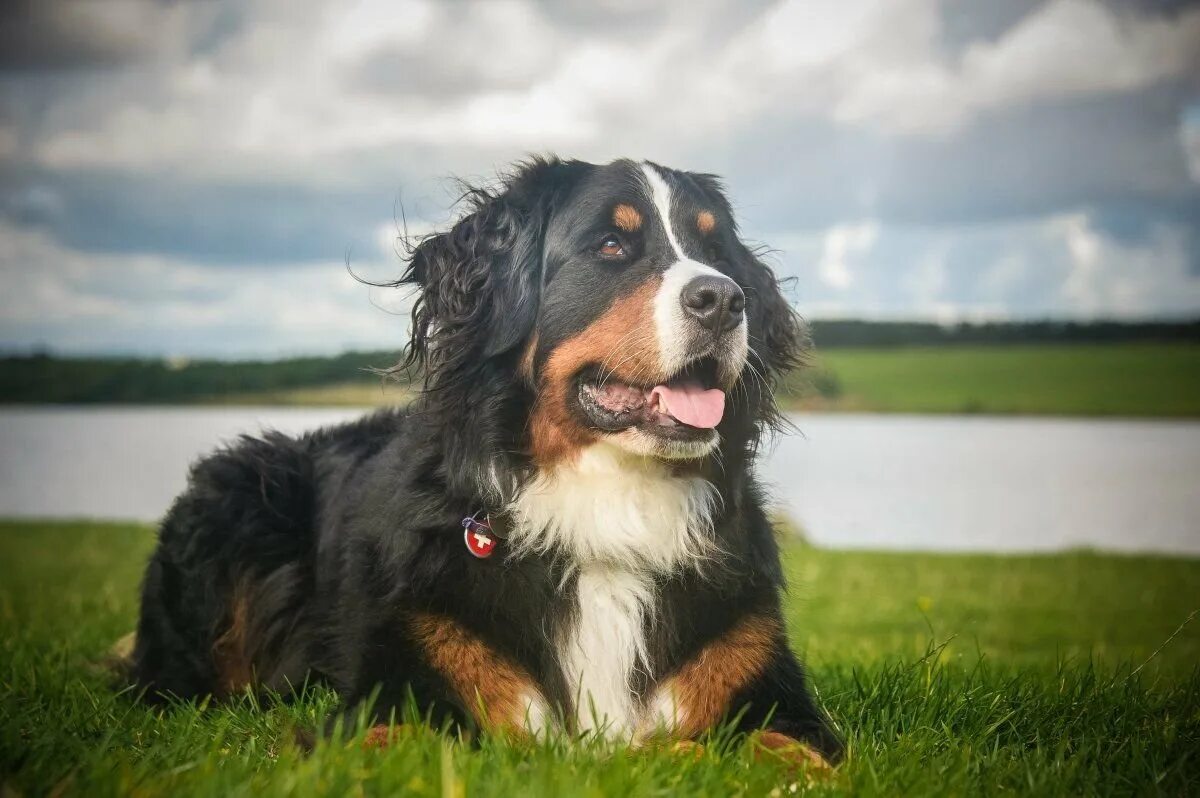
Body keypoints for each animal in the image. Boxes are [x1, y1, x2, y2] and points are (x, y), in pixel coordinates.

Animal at [129, 157, 844, 768]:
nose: (724, 298)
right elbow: (399, 740)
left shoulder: (763, 680)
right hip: (237, 493)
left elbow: (789, 749)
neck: (609, 503)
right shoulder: (406, 677)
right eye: (612, 245)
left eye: (716, 252)